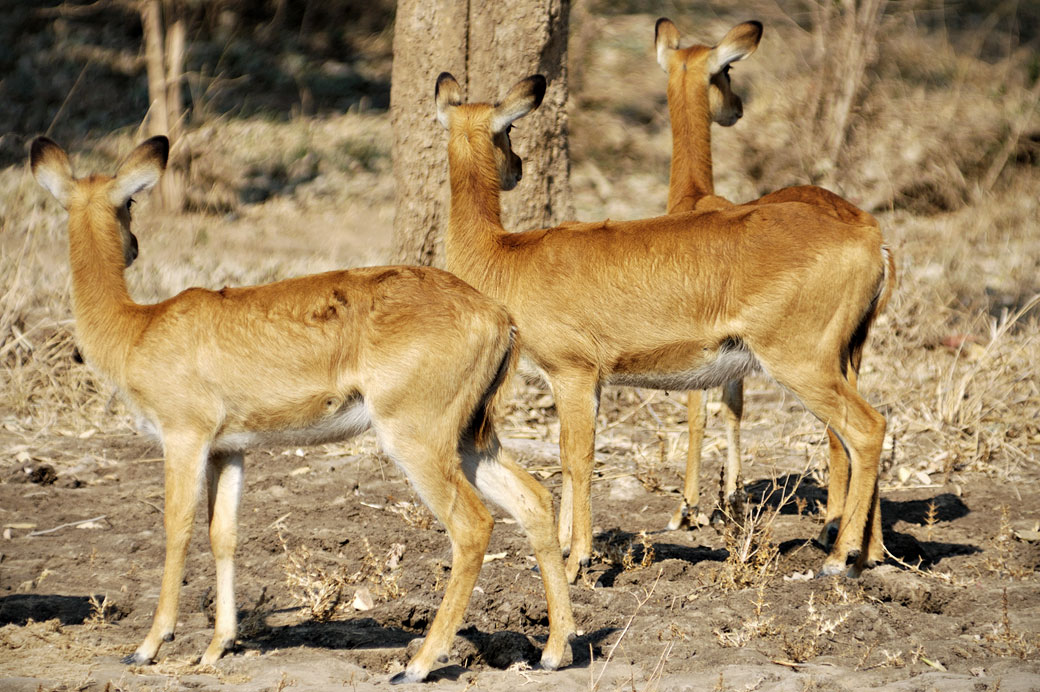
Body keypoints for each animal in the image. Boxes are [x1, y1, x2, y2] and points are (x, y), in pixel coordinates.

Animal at [28, 133, 578, 678]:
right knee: (533, 499)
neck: (138, 327)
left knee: (473, 525)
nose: (134, 247)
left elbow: (177, 527)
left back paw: (419, 664)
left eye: (130, 202)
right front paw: (218, 646)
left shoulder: (184, 437)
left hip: (416, 439)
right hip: (468, 439)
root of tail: (499, 316)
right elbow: (223, 533)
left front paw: (148, 646)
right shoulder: (228, 449)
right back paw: (554, 651)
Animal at [436, 72, 894, 578]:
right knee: (860, 432)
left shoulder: (572, 374)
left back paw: (837, 558)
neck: (505, 255)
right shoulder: (587, 382)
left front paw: (577, 561)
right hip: (844, 358)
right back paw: (867, 554)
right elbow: (566, 456)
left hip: (801, 364)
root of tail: (871, 238)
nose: (517, 168)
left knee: (867, 428)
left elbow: (579, 458)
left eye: (510, 129)